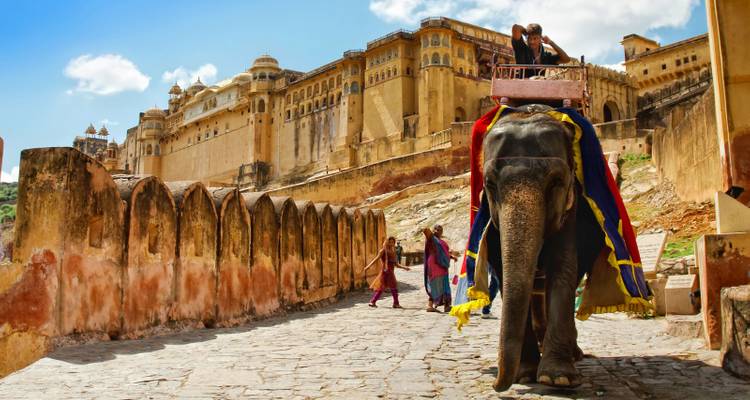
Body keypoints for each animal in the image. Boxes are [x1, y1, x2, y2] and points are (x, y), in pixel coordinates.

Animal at [481, 105, 606, 391]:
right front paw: (524, 374)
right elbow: (504, 272)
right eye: (490, 183)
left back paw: (574, 354)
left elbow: (564, 267)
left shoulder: (572, 208)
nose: (495, 385)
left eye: (556, 182)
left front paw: (557, 377)